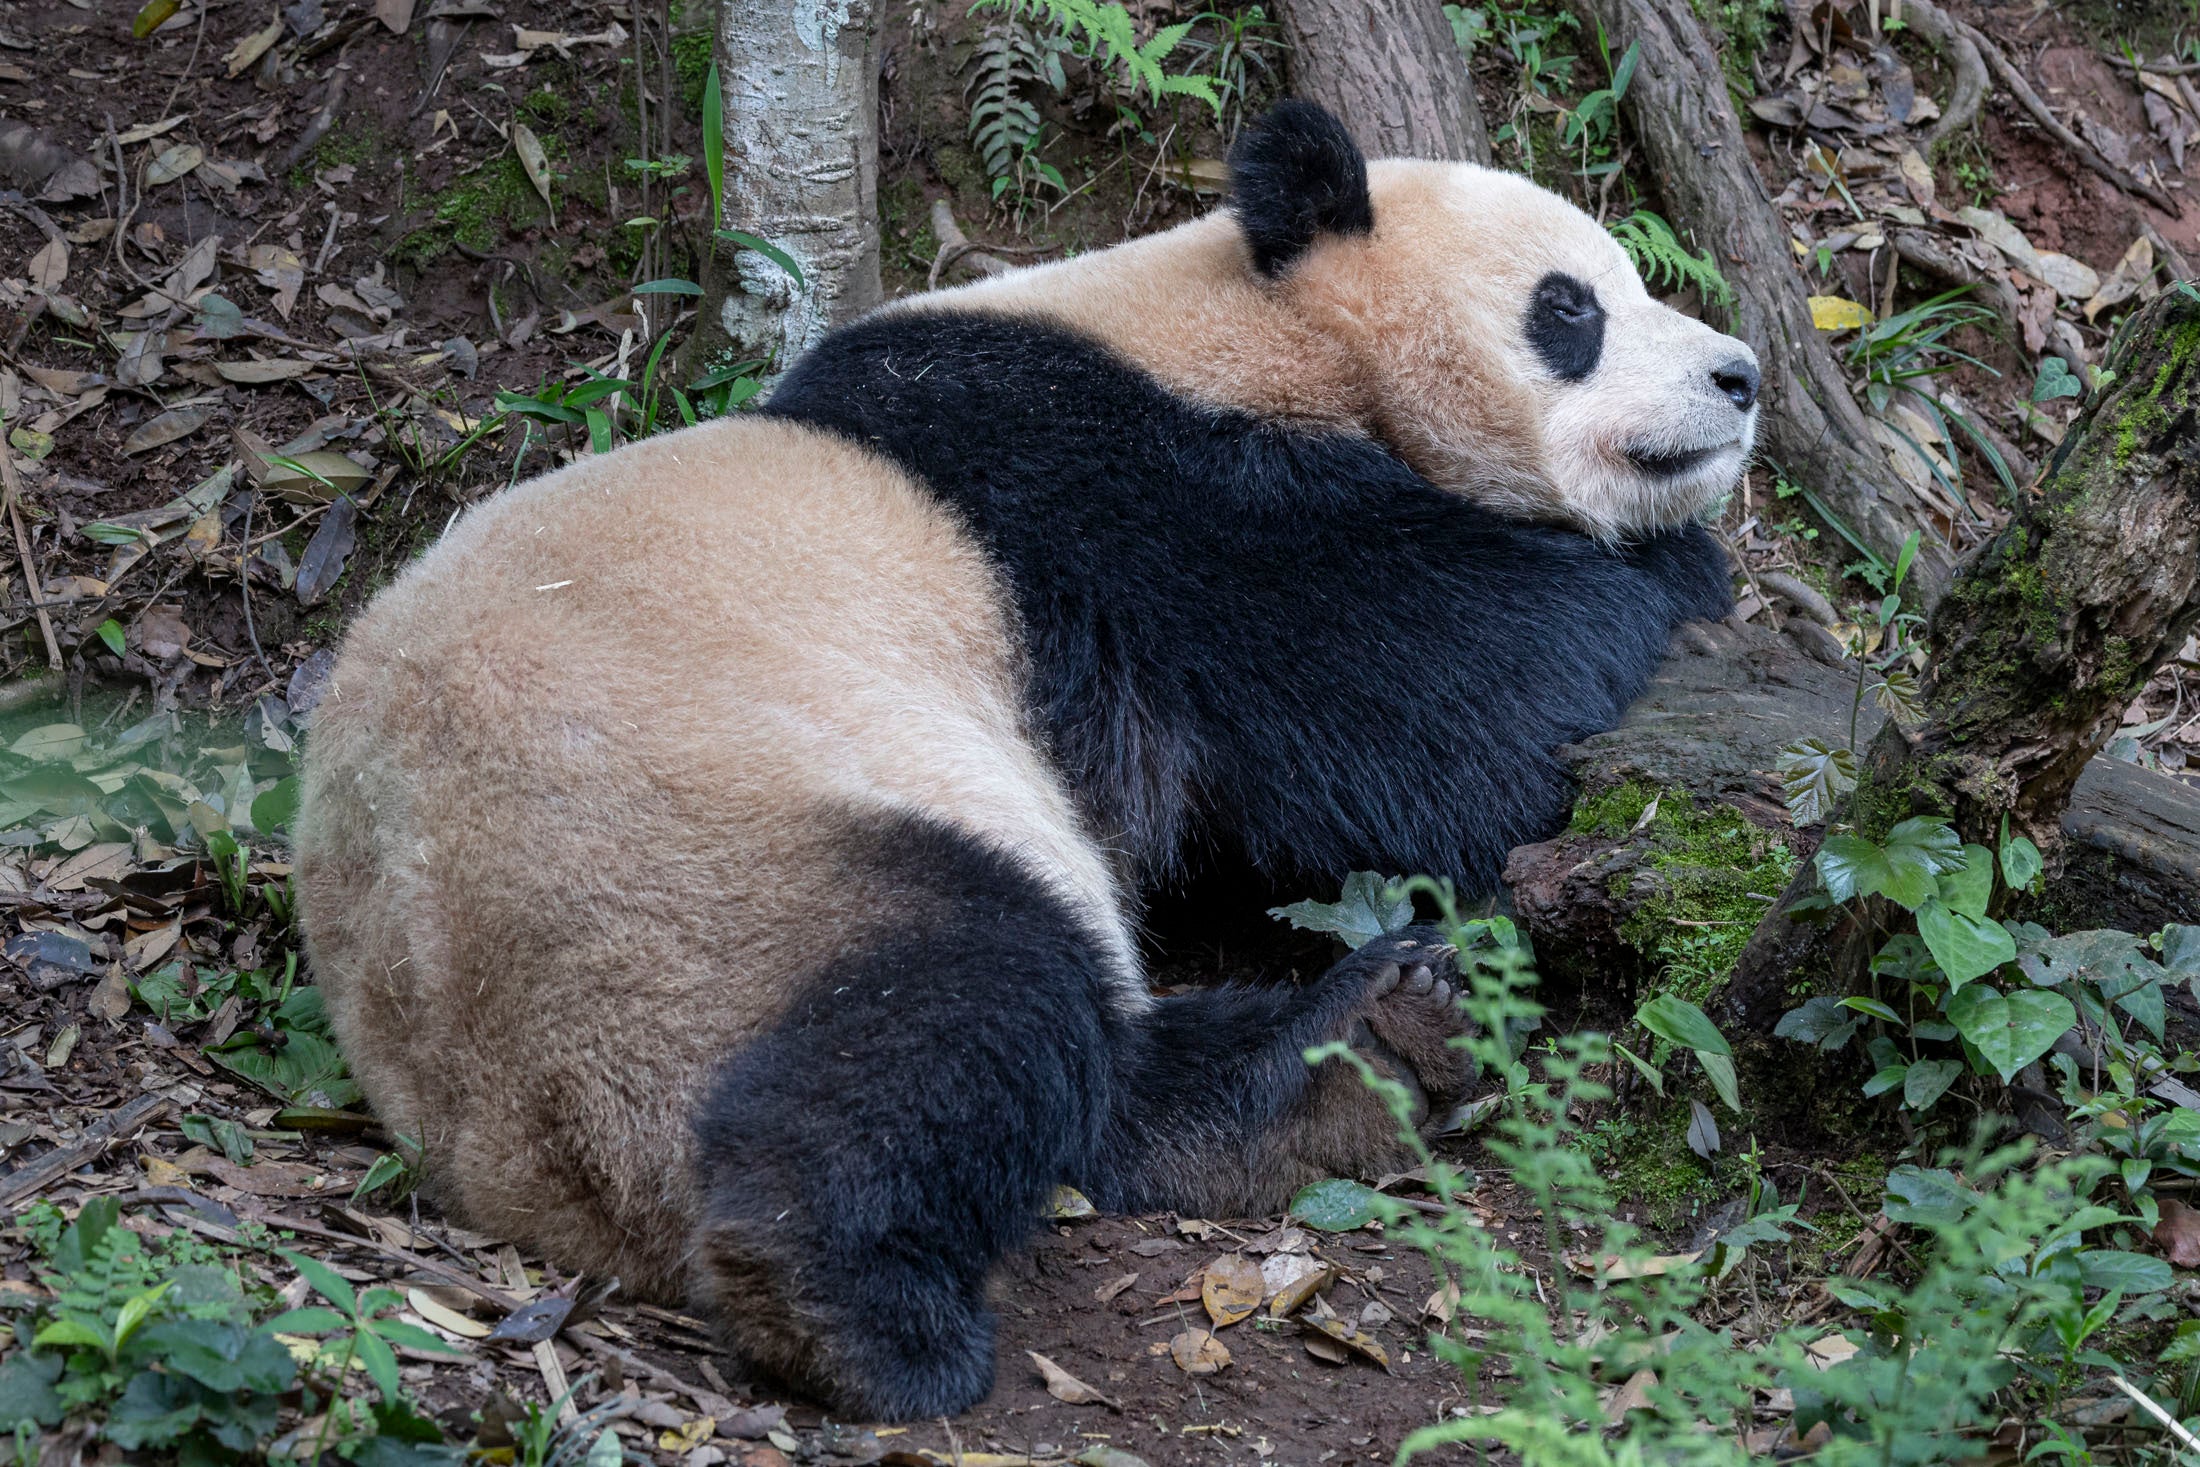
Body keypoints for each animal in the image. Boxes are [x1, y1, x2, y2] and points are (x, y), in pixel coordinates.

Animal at [294, 103, 1754, 1422]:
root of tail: (518, 1160)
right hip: (691, 874)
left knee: (1100, 1083)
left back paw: (1376, 1047)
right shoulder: (1128, 493)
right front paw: (1680, 579)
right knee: (967, 1005)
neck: (1247, 325)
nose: (1739, 377)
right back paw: (852, 1310)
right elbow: (1439, 690)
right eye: (1571, 309)